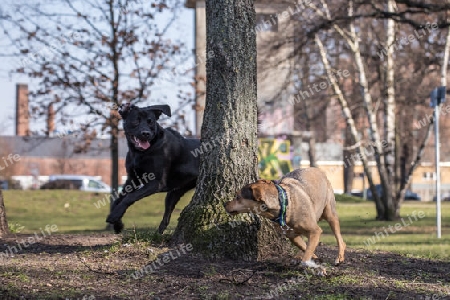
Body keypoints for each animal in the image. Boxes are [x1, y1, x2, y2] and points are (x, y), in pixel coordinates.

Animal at [106, 104, 200, 233]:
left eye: (151, 122)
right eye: (136, 121)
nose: (146, 133)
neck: (140, 153)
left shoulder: (156, 182)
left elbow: (130, 197)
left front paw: (115, 216)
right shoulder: (132, 180)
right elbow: (117, 200)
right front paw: (117, 224)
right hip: (175, 192)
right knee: (167, 215)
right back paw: (159, 232)